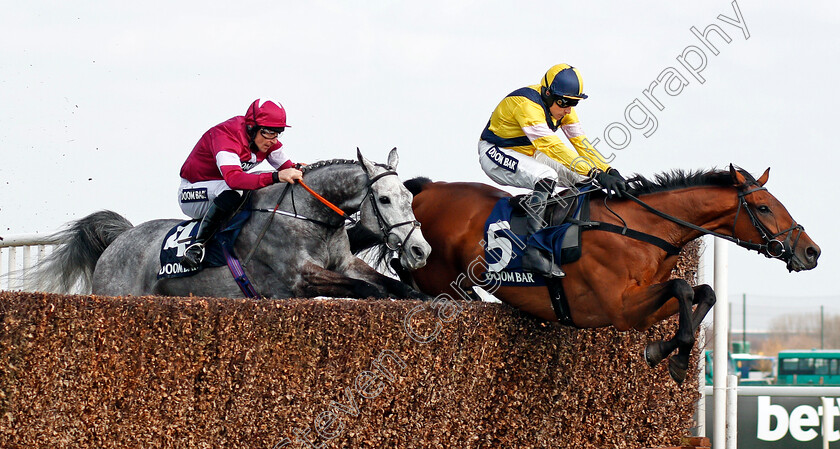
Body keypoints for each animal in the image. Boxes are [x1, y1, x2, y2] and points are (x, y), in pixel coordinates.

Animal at [26, 149, 434, 300]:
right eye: (384, 200)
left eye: (408, 196)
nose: (420, 250)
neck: (310, 216)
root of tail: (122, 237)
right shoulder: (299, 277)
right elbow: (366, 289)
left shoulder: (345, 262)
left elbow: (388, 284)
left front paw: (422, 296)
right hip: (121, 294)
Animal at [350, 164, 820, 382]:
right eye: (763, 207)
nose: (812, 251)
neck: (640, 229)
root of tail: (424, 191)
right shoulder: (619, 309)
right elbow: (685, 287)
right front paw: (671, 354)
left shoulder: (641, 303)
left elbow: (703, 292)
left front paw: (668, 352)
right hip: (441, 283)